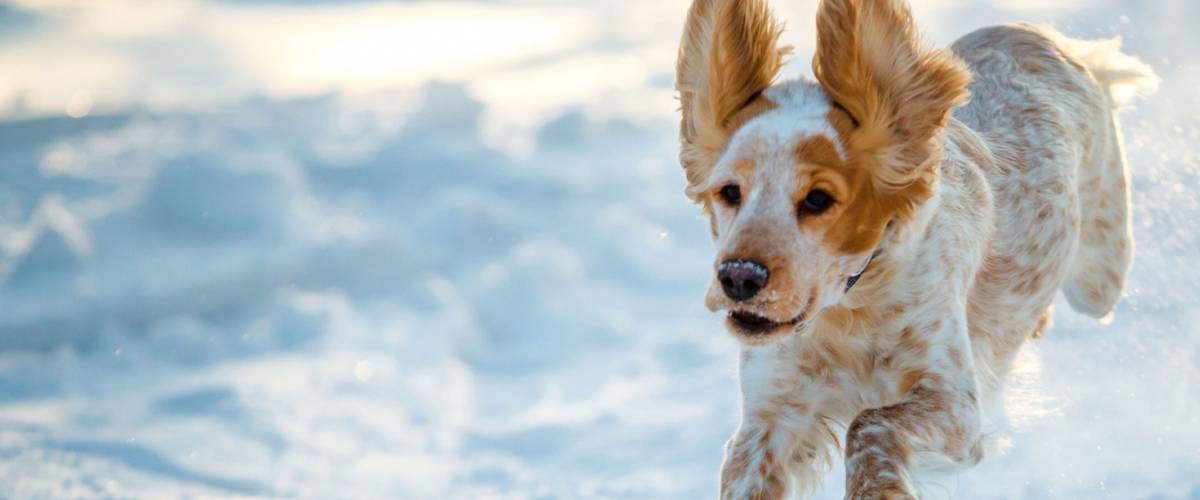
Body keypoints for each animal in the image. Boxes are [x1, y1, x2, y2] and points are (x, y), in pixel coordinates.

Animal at [672, 0, 1156, 494]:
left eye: (818, 199)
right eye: (730, 192)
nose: (738, 277)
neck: (850, 309)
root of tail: (1034, 33)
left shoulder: (955, 405)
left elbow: (868, 422)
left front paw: (880, 489)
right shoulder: (771, 410)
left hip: (1099, 278)